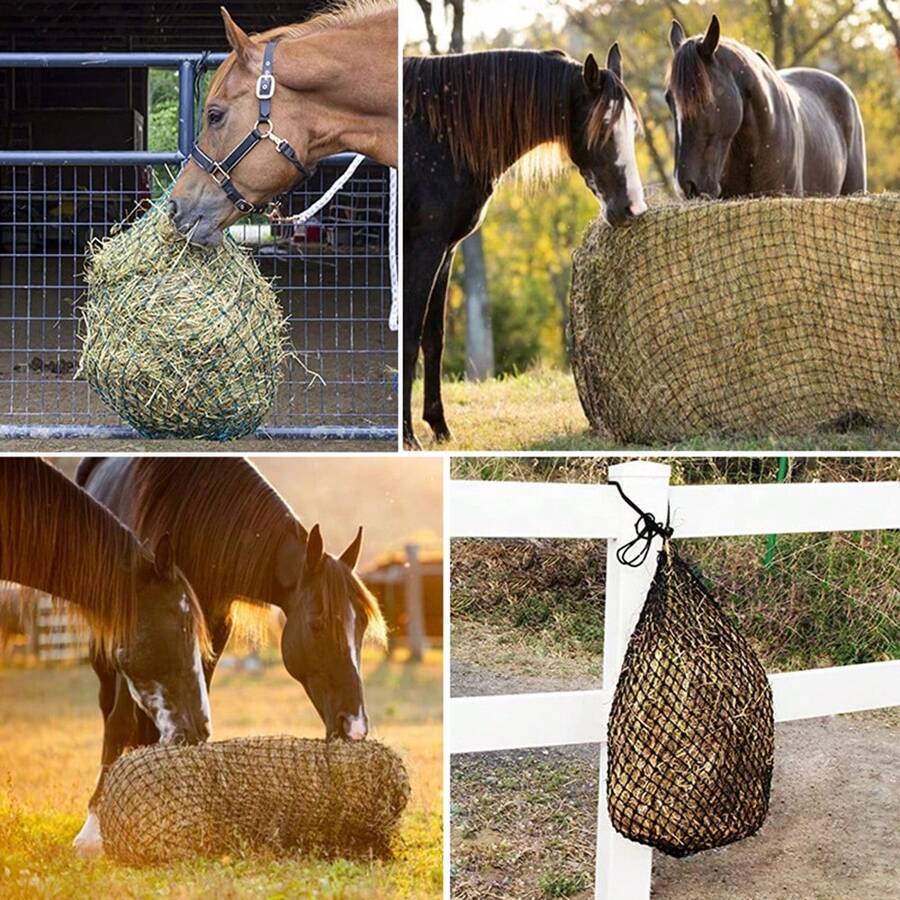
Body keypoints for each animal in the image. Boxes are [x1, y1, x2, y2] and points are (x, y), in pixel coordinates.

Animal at [403, 44, 646, 448]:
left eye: (633, 128)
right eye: (603, 127)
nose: (633, 209)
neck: (441, 137)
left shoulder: (444, 252)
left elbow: (433, 339)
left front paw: (439, 427)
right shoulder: (423, 249)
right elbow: (408, 337)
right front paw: (407, 436)